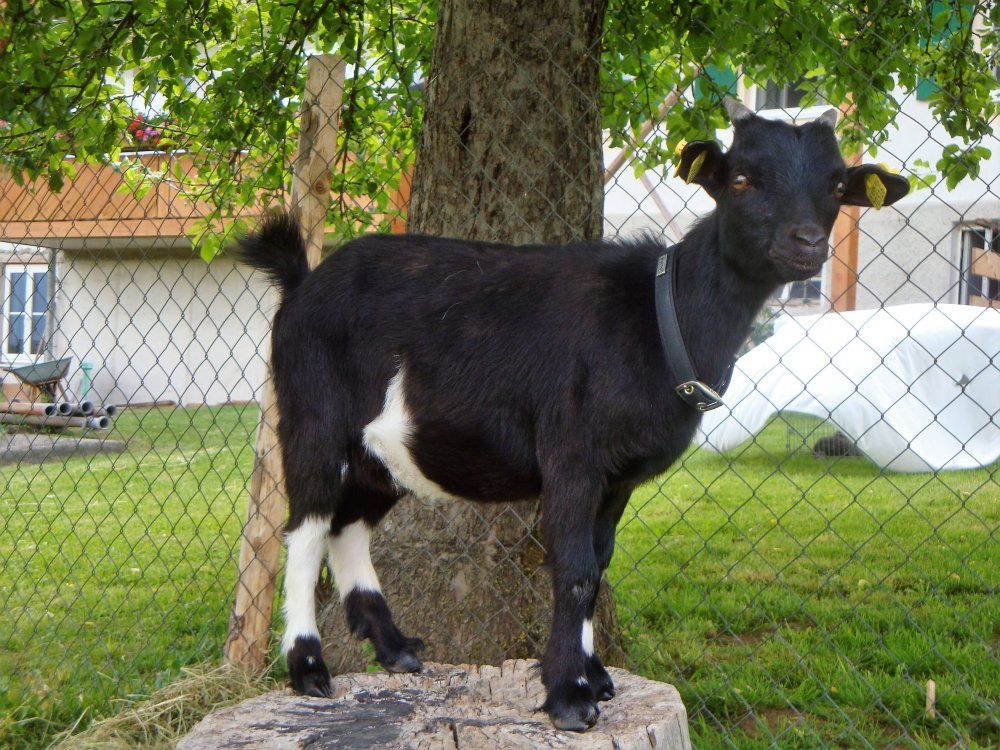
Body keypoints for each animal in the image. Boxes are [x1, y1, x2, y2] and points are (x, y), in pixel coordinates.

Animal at [239, 97, 909, 731]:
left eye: (836, 185)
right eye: (742, 177)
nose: (807, 243)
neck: (659, 316)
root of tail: (301, 283)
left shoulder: (619, 477)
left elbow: (600, 560)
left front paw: (596, 675)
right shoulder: (571, 457)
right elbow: (576, 569)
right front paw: (568, 696)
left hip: (386, 452)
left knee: (349, 526)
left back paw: (396, 648)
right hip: (312, 420)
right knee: (305, 529)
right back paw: (308, 668)